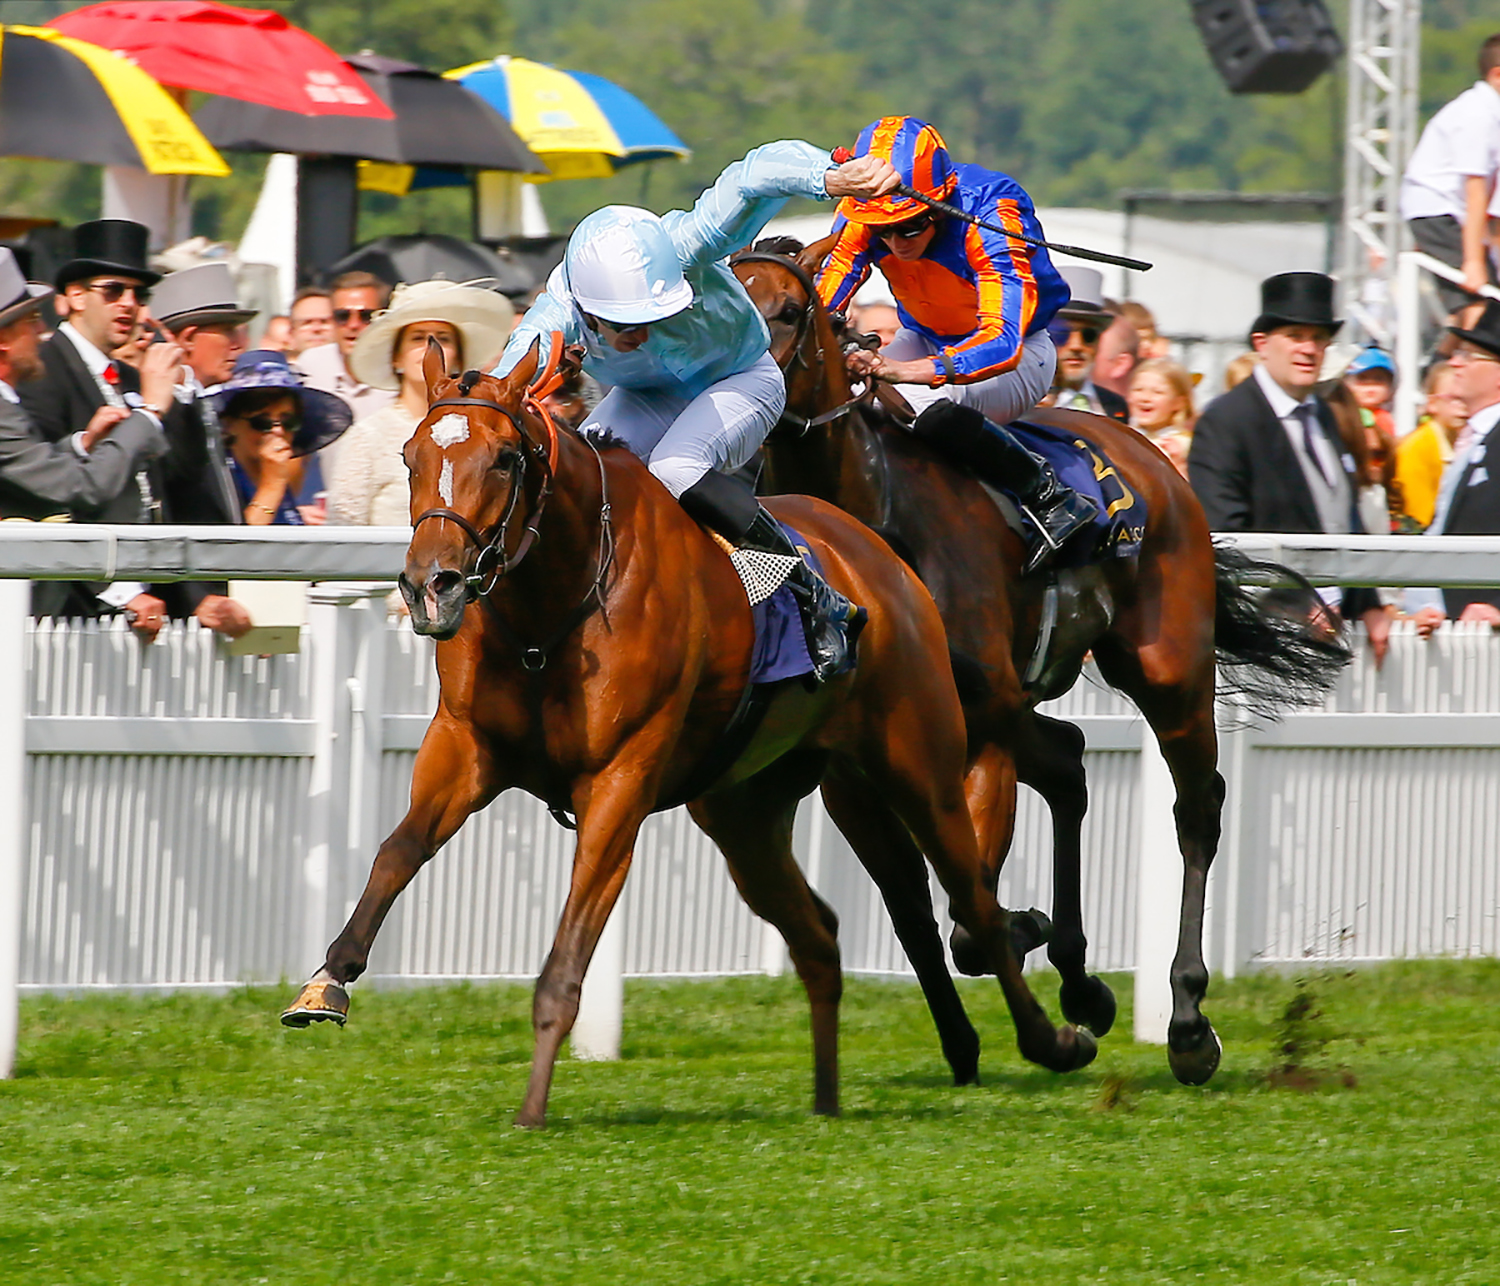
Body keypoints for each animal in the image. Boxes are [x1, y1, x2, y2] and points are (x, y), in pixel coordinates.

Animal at [282, 339, 1098, 1122]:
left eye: (506, 458)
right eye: (410, 456)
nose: (431, 586)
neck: (555, 605)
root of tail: (881, 556)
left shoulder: (619, 780)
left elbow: (568, 957)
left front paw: (533, 1109)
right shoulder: (463, 746)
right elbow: (397, 851)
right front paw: (326, 982)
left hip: (918, 763)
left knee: (975, 904)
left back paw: (1056, 1034)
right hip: (749, 811)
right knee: (824, 935)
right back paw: (830, 1100)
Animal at [732, 238, 1344, 1086]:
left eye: (789, 310)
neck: (877, 517)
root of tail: (1151, 453)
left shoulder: (977, 729)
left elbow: (968, 907)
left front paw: (1026, 937)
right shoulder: (852, 771)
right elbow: (915, 906)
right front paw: (1025, 978)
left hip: (1167, 670)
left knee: (1195, 807)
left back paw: (1187, 1019)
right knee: (1068, 763)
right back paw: (1083, 980)